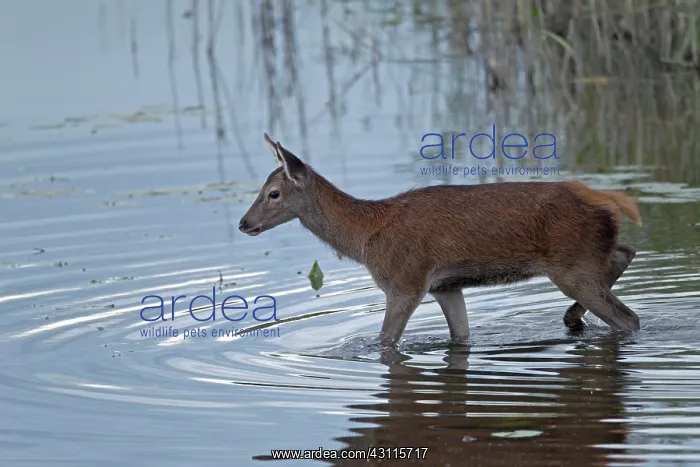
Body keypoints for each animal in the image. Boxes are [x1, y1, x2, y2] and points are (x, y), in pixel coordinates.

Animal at [238, 133, 643, 347]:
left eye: (273, 193)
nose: (244, 223)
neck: (365, 237)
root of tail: (607, 198)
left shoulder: (405, 281)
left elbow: (385, 342)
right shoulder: (445, 286)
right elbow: (460, 336)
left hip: (572, 264)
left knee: (630, 318)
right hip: (585, 257)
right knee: (624, 251)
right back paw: (573, 316)